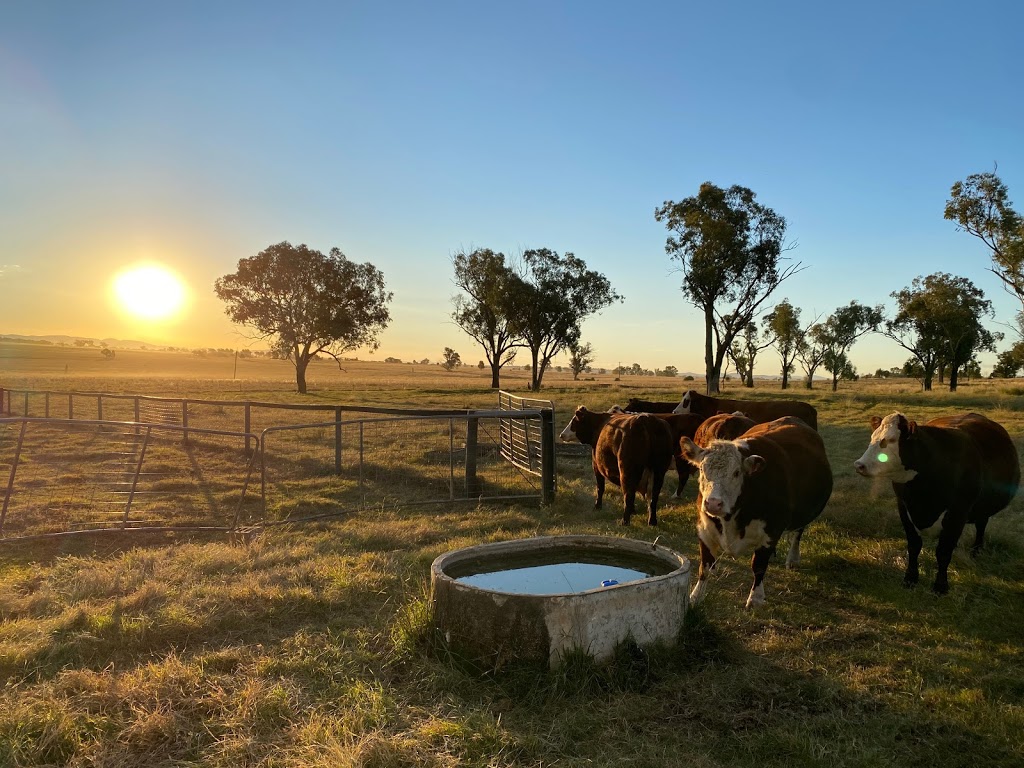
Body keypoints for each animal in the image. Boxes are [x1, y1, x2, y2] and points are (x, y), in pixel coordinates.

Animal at [679, 417, 831, 610]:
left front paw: (755, 598)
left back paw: (793, 559)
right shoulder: (704, 528)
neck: (730, 520)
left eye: (736, 473)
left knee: (798, 534)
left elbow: (758, 566)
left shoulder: (771, 532)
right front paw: (696, 596)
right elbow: (704, 565)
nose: (713, 503)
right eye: (701, 469)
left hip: (803, 514)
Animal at [851, 415, 1019, 593]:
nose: (859, 465)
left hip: (982, 508)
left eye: (891, 440)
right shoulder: (903, 507)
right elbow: (914, 546)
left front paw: (940, 586)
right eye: (872, 438)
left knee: (981, 525)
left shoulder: (957, 512)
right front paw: (910, 579)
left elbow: (944, 551)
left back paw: (977, 550)